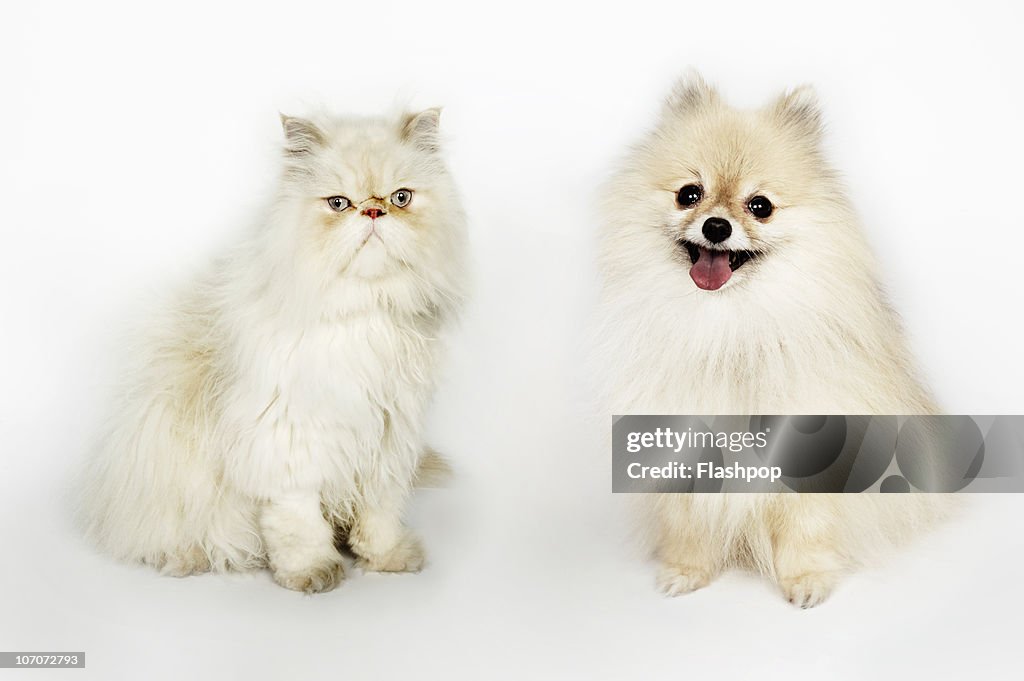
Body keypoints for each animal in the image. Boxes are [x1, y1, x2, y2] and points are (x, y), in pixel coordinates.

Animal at [598, 76, 946, 606]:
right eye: (689, 194)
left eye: (759, 206)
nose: (716, 225)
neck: (730, 325)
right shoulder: (682, 438)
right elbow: (687, 519)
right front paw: (686, 570)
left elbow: (805, 523)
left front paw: (805, 579)